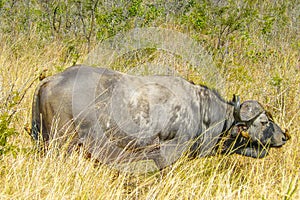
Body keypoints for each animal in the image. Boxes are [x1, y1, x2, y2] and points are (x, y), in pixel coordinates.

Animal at [30, 65, 288, 169]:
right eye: (263, 122)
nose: (284, 136)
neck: (201, 112)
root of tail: (52, 79)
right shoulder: (166, 155)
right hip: (60, 144)